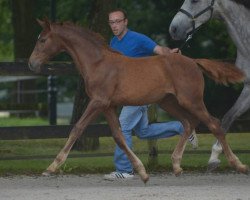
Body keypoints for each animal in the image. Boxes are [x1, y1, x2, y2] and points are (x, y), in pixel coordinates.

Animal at [28, 19, 247, 183]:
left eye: (43, 40)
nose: (32, 64)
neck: (97, 63)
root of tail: (193, 62)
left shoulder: (97, 102)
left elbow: (77, 128)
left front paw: (51, 167)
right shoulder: (108, 106)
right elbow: (118, 135)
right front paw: (142, 172)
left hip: (191, 100)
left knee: (214, 124)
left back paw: (237, 164)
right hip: (169, 102)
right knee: (188, 123)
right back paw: (176, 165)